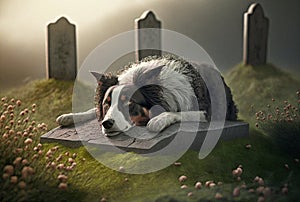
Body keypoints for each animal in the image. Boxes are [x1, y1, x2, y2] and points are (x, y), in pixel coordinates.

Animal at [56, 56, 237, 137]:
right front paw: (70, 116)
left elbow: (178, 113)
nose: (107, 124)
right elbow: (93, 110)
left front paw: (157, 121)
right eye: (106, 103)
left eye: (129, 103)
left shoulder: (206, 111)